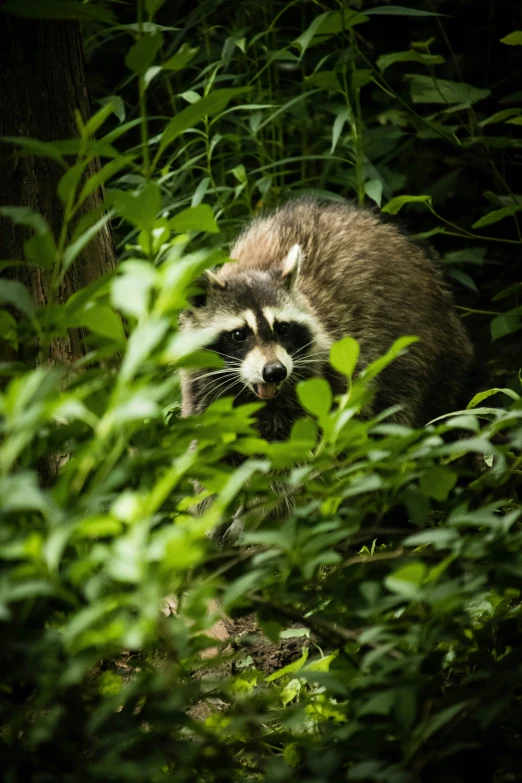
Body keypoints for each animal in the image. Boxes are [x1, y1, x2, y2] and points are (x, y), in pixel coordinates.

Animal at [178, 196, 472, 440]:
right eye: (239, 334)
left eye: (282, 328)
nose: (275, 372)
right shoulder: (203, 393)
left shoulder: (325, 384)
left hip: (417, 344)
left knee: (401, 405)